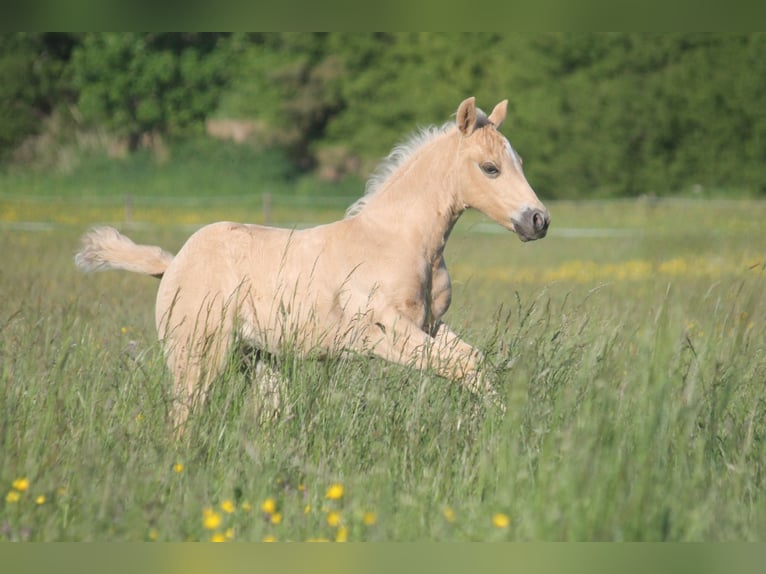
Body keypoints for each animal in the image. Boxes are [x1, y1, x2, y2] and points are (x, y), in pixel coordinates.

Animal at [75, 97, 550, 430]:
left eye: (519, 162)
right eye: (490, 168)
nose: (538, 220)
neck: (399, 240)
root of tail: (173, 264)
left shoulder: (431, 326)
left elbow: (475, 364)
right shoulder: (387, 336)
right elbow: (461, 367)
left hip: (258, 358)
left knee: (270, 411)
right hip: (195, 356)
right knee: (184, 416)